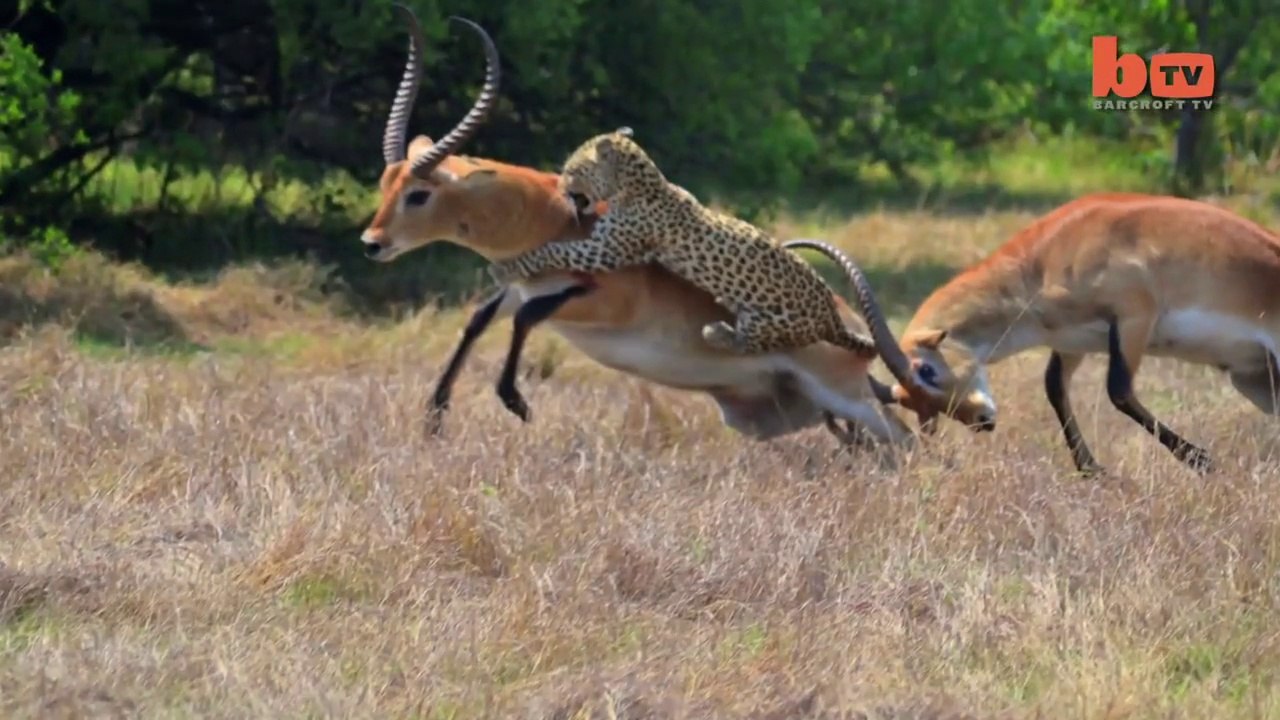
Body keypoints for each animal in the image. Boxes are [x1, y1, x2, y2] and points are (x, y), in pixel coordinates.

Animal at [487, 128, 879, 358]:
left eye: (572, 170)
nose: (561, 185)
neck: (638, 185)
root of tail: (832, 318)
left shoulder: (607, 250)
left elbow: (553, 250)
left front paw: (506, 267)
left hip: (774, 324)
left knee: (750, 345)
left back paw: (717, 331)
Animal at [884, 192, 1280, 475]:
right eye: (907, 401)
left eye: (926, 370)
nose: (981, 420)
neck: (1042, 258)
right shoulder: (1072, 342)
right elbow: (1055, 388)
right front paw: (1092, 470)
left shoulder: (1133, 316)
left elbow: (1118, 391)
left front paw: (1203, 461)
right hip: (1254, 380)